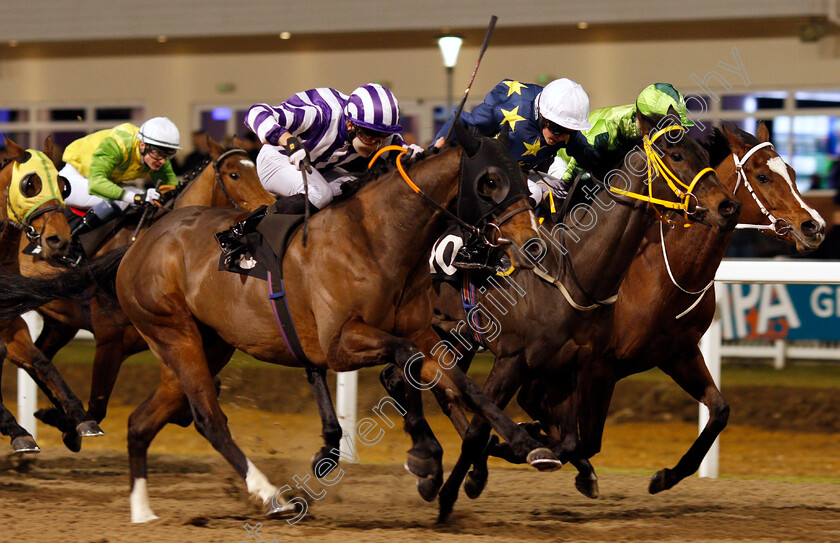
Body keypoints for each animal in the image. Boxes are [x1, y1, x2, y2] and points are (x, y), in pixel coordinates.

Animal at [0, 137, 93, 454]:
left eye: (63, 185)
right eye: (30, 184)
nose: (59, 240)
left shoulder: (11, 326)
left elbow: (42, 363)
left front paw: (81, 419)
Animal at [16, 134, 274, 448]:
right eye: (234, 174)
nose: (271, 206)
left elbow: (202, 392)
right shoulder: (110, 338)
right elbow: (98, 407)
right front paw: (67, 426)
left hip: (60, 324)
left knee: (38, 357)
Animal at [424, 108, 740, 520]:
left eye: (705, 154)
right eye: (676, 155)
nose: (727, 207)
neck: (569, 271)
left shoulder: (574, 365)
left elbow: (572, 442)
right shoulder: (518, 360)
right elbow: (485, 428)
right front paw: (456, 492)